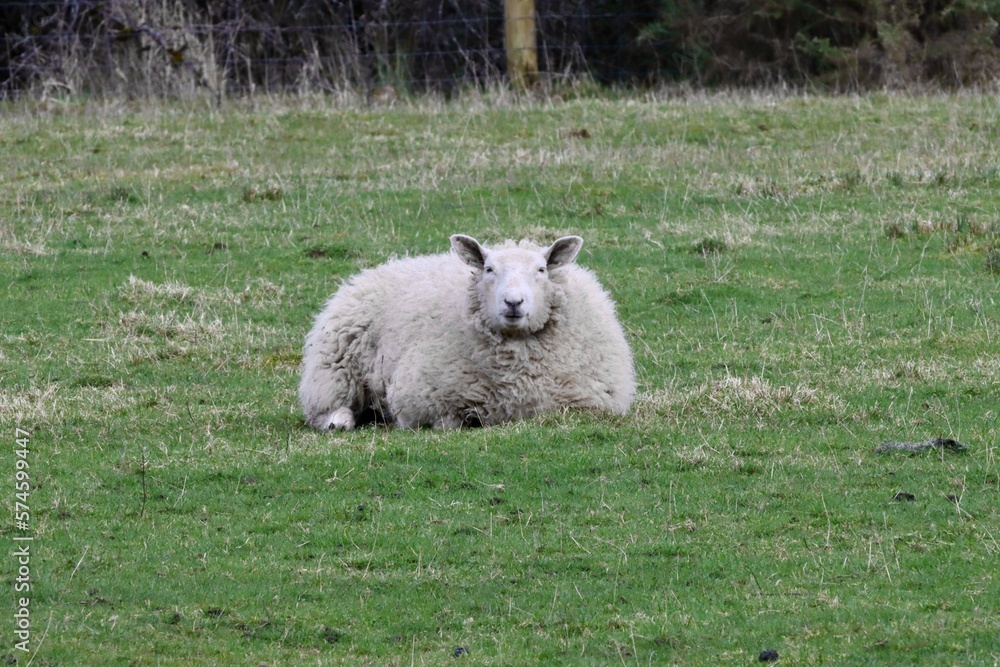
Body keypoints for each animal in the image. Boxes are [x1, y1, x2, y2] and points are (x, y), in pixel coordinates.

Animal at [299, 234, 635, 430]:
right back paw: (339, 421)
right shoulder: (418, 398)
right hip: (335, 366)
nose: (513, 302)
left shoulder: (589, 404)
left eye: (541, 269)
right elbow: (445, 422)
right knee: (327, 406)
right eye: (488, 269)